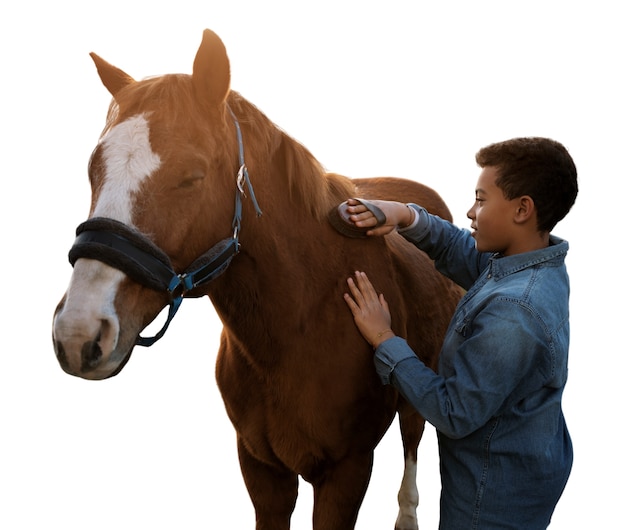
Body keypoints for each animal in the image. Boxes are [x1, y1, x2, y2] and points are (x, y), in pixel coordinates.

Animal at [52, 28, 458, 528]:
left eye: (192, 176)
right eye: (94, 169)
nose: (78, 333)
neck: (301, 324)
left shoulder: (347, 472)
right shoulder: (262, 470)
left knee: (413, 437)